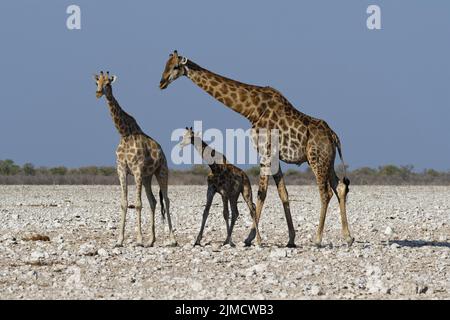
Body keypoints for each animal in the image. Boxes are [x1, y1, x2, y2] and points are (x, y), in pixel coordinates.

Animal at [94, 71, 177, 248]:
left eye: (108, 83)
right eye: (97, 82)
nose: (98, 93)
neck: (124, 133)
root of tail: (163, 152)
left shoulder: (137, 170)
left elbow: (138, 204)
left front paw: (138, 240)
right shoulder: (121, 170)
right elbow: (124, 203)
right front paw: (119, 240)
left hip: (162, 171)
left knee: (166, 200)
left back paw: (172, 239)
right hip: (147, 177)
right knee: (153, 201)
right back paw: (151, 240)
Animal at [160, 52, 354, 248]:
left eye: (175, 67)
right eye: (165, 65)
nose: (161, 82)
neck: (251, 110)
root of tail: (333, 136)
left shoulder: (265, 152)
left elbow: (261, 193)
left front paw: (250, 238)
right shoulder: (274, 157)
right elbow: (283, 194)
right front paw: (291, 239)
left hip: (316, 159)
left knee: (326, 192)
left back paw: (318, 238)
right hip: (328, 161)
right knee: (340, 187)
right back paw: (348, 237)